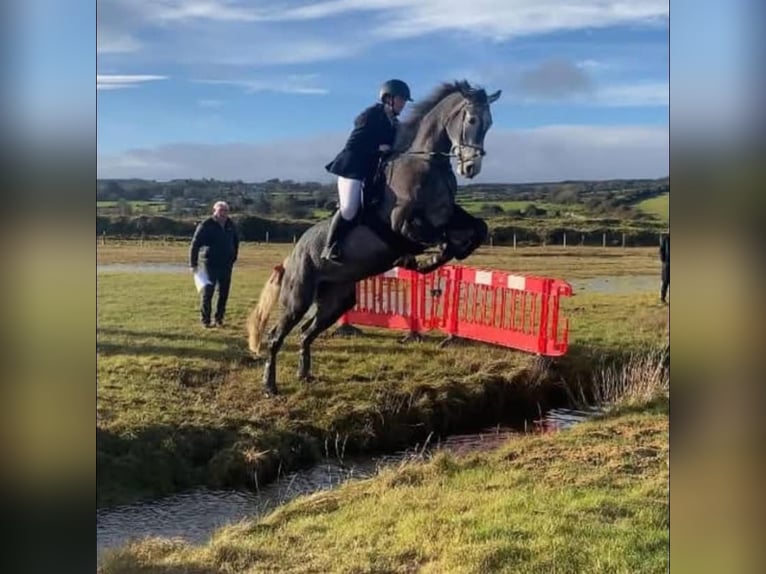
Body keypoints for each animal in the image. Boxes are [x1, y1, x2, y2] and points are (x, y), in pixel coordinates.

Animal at [247, 80, 502, 395]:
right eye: (472, 120)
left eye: (490, 123)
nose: (470, 169)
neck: (427, 164)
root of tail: (289, 258)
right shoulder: (403, 224)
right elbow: (437, 239)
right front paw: (421, 261)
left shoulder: (447, 215)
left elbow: (478, 228)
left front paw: (447, 254)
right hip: (298, 298)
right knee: (275, 336)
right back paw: (269, 386)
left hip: (337, 300)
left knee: (307, 333)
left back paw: (304, 375)